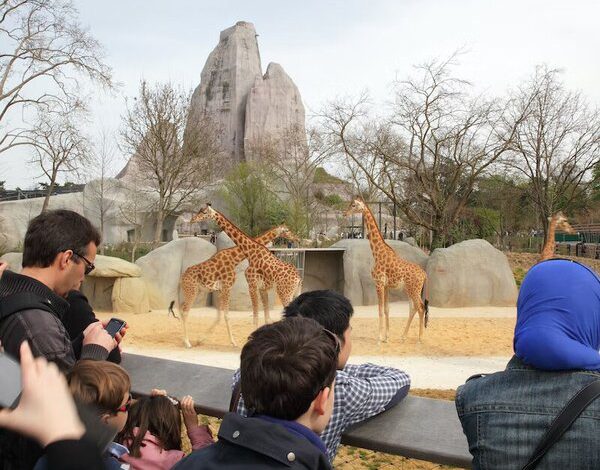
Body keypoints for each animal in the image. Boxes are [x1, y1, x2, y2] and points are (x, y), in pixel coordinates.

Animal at [168, 224, 298, 348]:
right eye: (286, 230)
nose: (295, 238)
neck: (235, 257)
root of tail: (181, 279)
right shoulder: (227, 287)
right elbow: (226, 315)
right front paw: (234, 342)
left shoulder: (220, 290)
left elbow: (220, 315)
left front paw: (201, 339)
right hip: (192, 291)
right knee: (185, 310)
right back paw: (187, 343)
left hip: (195, 291)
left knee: (181, 308)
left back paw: (186, 340)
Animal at [344, 197, 428, 342]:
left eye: (354, 205)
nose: (344, 213)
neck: (377, 253)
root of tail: (424, 274)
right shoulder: (387, 286)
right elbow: (387, 309)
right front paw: (387, 337)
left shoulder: (379, 283)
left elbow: (379, 310)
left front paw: (379, 338)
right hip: (409, 290)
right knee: (413, 308)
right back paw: (403, 336)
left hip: (414, 289)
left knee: (421, 308)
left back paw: (420, 338)